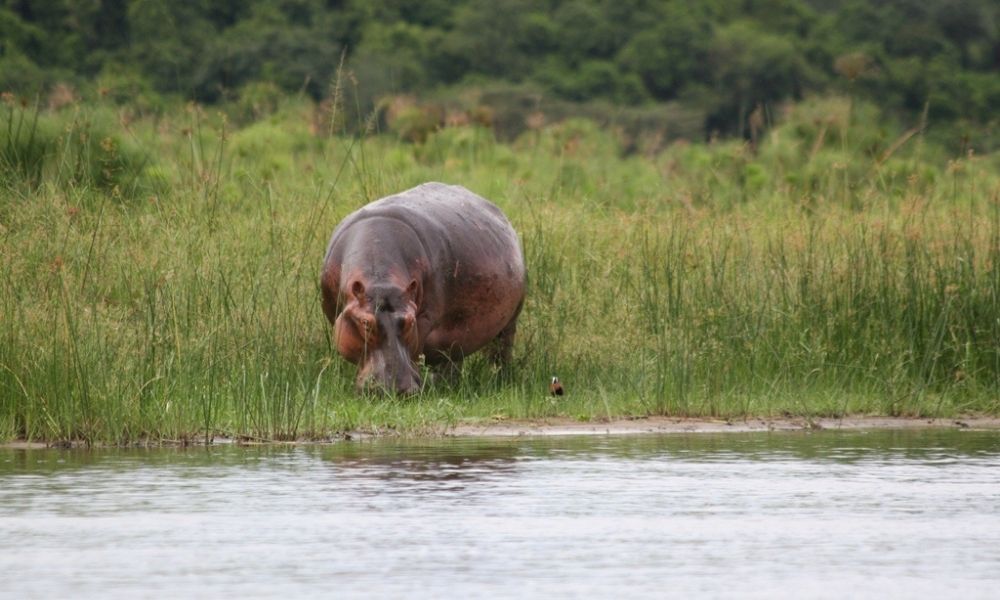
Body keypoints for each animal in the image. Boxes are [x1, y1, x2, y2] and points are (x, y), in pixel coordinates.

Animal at [320, 182, 528, 394]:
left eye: (411, 321)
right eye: (365, 323)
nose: (397, 389)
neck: (380, 278)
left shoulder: (425, 319)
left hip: (510, 319)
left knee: (501, 351)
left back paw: (499, 381)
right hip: (459, 329)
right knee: (455, 356)